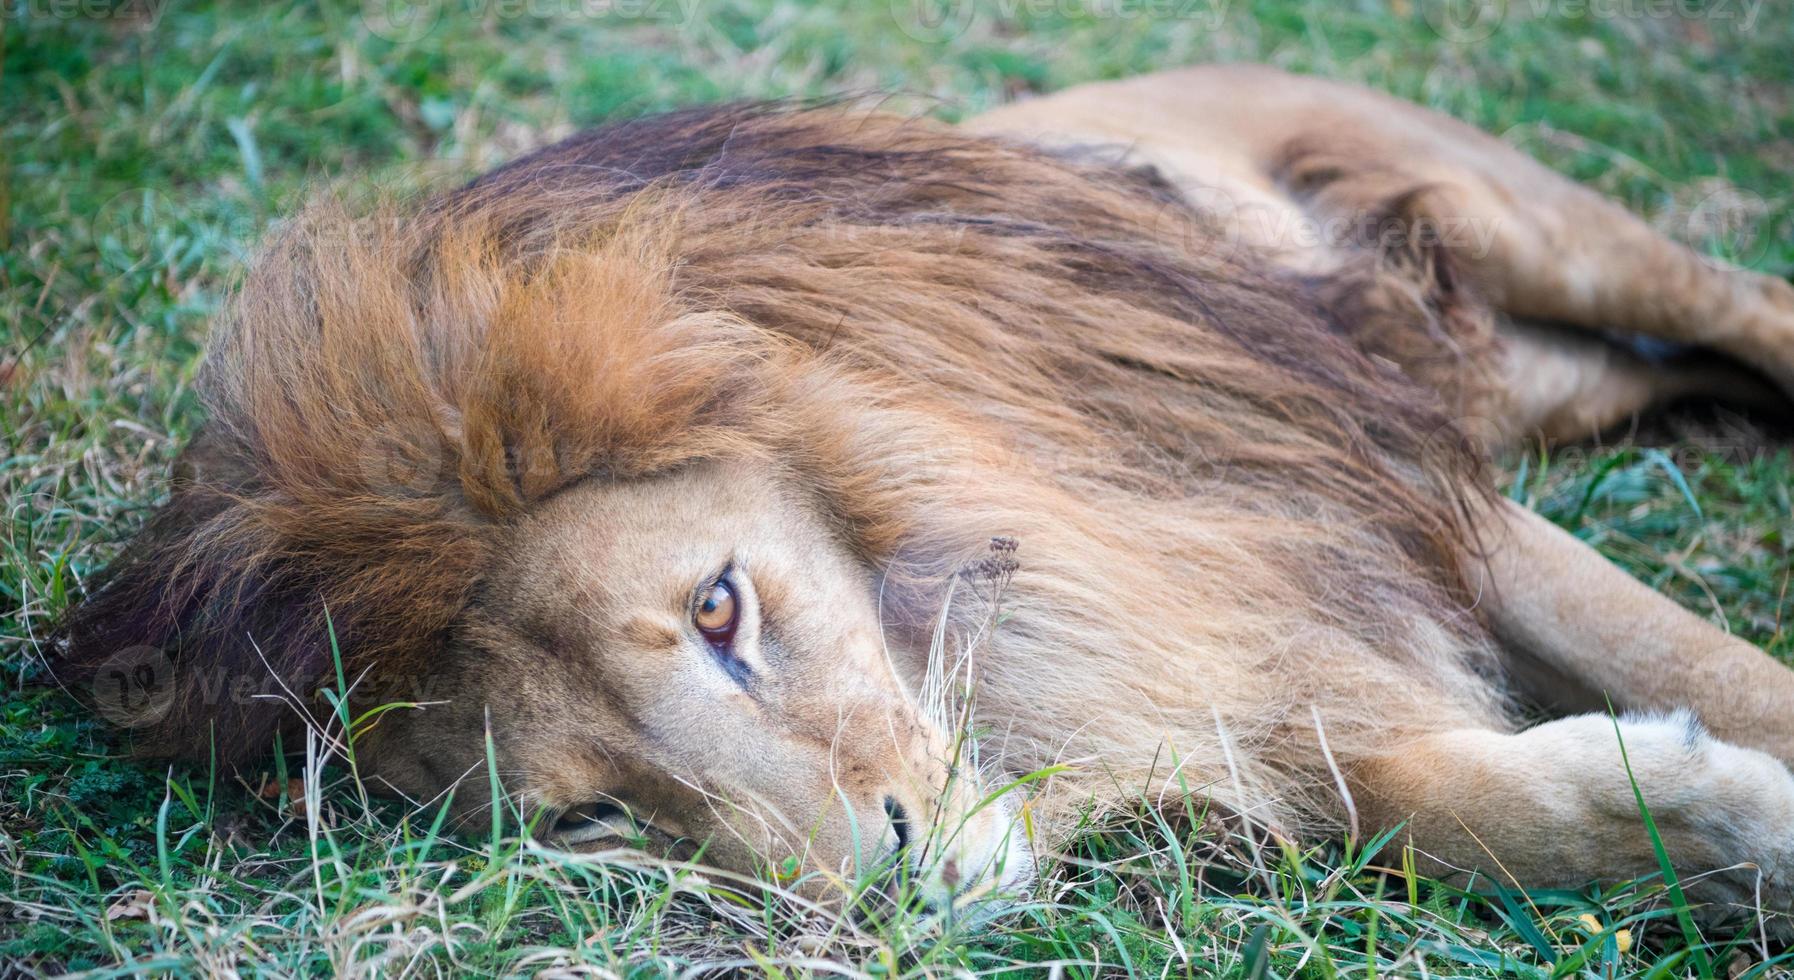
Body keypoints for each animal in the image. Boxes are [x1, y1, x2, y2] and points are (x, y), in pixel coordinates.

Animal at [52, 66, 1794, 908]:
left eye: (719, 608)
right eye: (595, 820)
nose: (889, 887)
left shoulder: (1358, 494)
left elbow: (1703, 665)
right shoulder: (1245, 665)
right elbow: (1428, 805)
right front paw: (1698, 829)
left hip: (1521, 225)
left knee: (1733, 302)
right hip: (1534, 375)